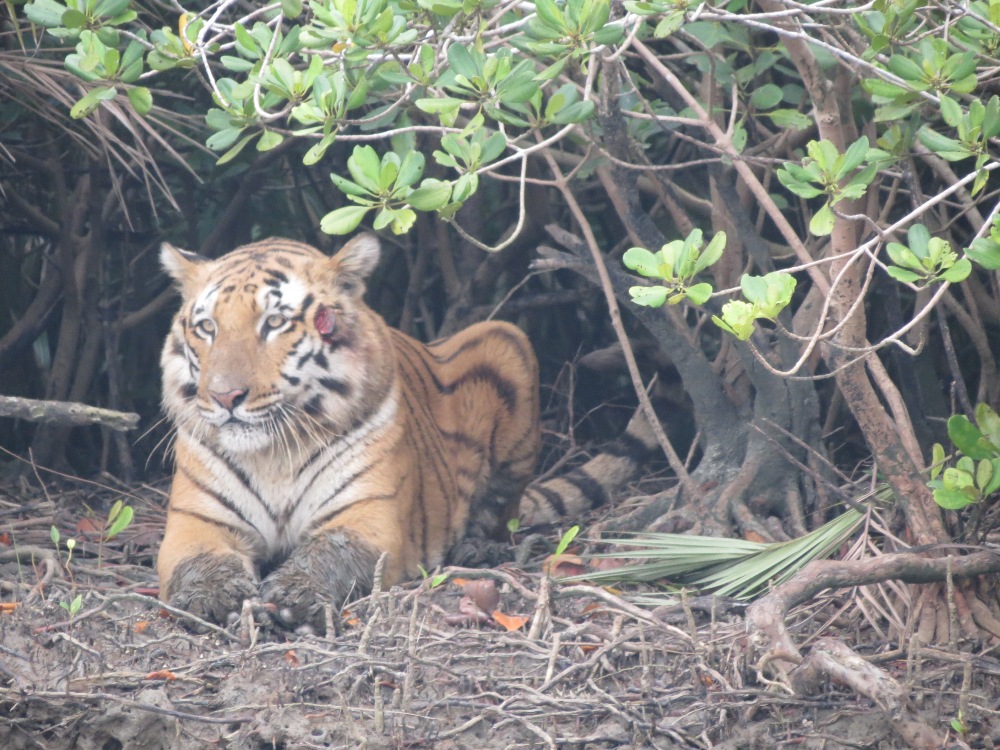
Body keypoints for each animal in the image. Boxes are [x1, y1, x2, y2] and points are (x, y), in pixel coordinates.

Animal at [158, 235, 656, 636]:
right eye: (207, 328)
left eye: (275, 323)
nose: (225, 396)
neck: (274, 455)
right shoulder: (194, 521)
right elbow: (197, 560)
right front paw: (210, 599)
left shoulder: (370, 517)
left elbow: (331, 551)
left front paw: (292, 598)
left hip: (506, 340)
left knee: (501, 509)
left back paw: (477, 548)